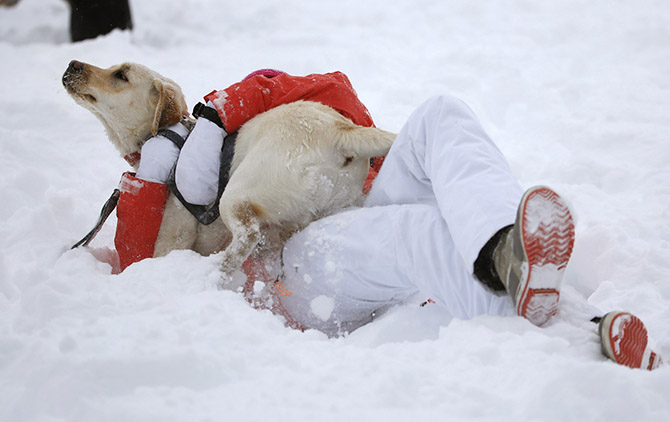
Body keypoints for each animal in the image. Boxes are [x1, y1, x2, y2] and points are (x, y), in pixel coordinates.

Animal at [61, 61, 400, 284]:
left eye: (121, 74)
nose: (72, 63)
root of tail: (340, 130)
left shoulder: (172, 240)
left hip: (236, 196)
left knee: (246, 238)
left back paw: (211, 275)